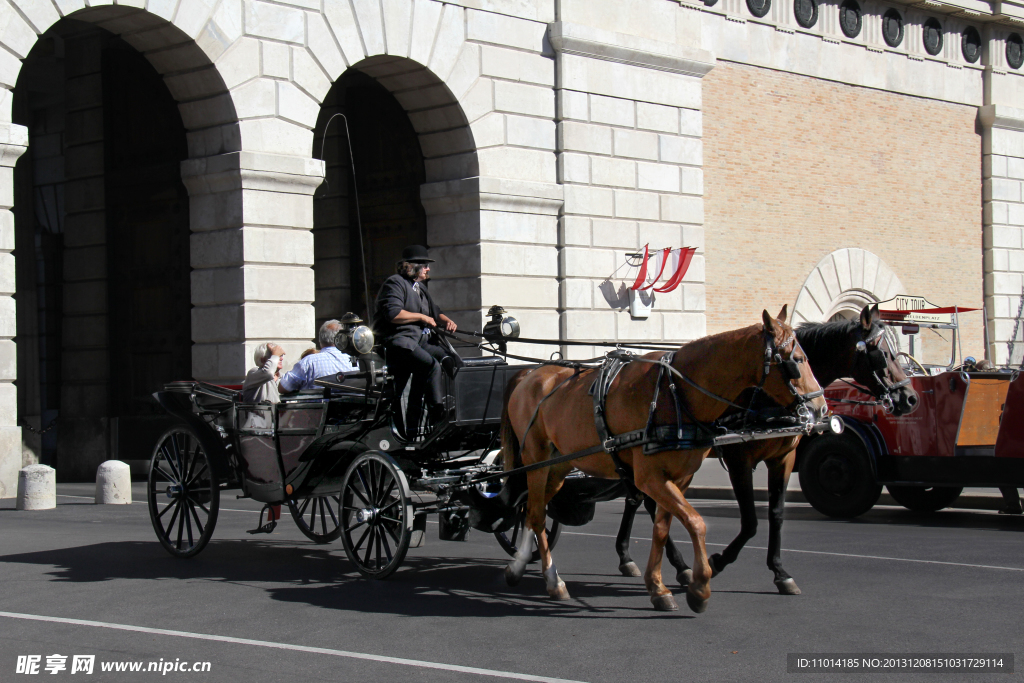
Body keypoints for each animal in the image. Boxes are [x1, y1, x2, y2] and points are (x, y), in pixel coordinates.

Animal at [499, 309, 827, 614]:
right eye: (797, 360)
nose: (822, 408)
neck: (677, 393)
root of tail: (528, 375)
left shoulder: (679, 477)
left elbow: (662, 527)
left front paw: (659, 587)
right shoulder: (655, 476)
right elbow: (696, 523)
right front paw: (701, 585)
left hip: (559, 466)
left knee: (532, 511)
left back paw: (519, 566)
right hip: (536, 460)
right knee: (537, 514)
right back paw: (553, 580)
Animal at [610, 301, 917, 593]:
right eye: (882, 353)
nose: (909, 397)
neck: (764, 398)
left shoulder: (783, 458)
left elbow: (776, 514)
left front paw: (780, 571)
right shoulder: (739, 459)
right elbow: (750, 522)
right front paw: (717, 561)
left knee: (639, 499)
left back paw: (628, 556)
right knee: (648, 501)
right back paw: (675, 564)